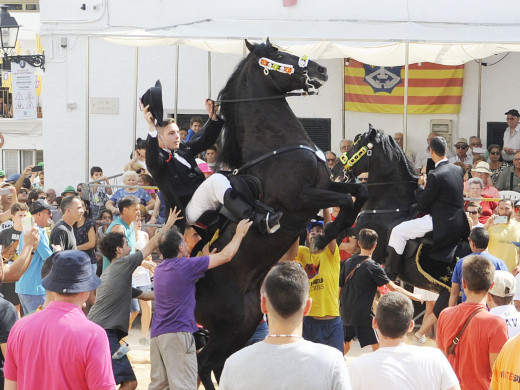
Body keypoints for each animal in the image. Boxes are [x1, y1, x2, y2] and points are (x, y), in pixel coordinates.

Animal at [193, 40, 368, 390]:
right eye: (278, 55)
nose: (321, 69)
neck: (275, 145)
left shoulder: (324, 184)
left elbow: (360, 192)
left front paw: (328, 235)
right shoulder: (302, 198)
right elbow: (346, 199)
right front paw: (325, 237)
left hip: (243, 325)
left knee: (217, 363)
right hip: (230, 327)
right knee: (204, 363)